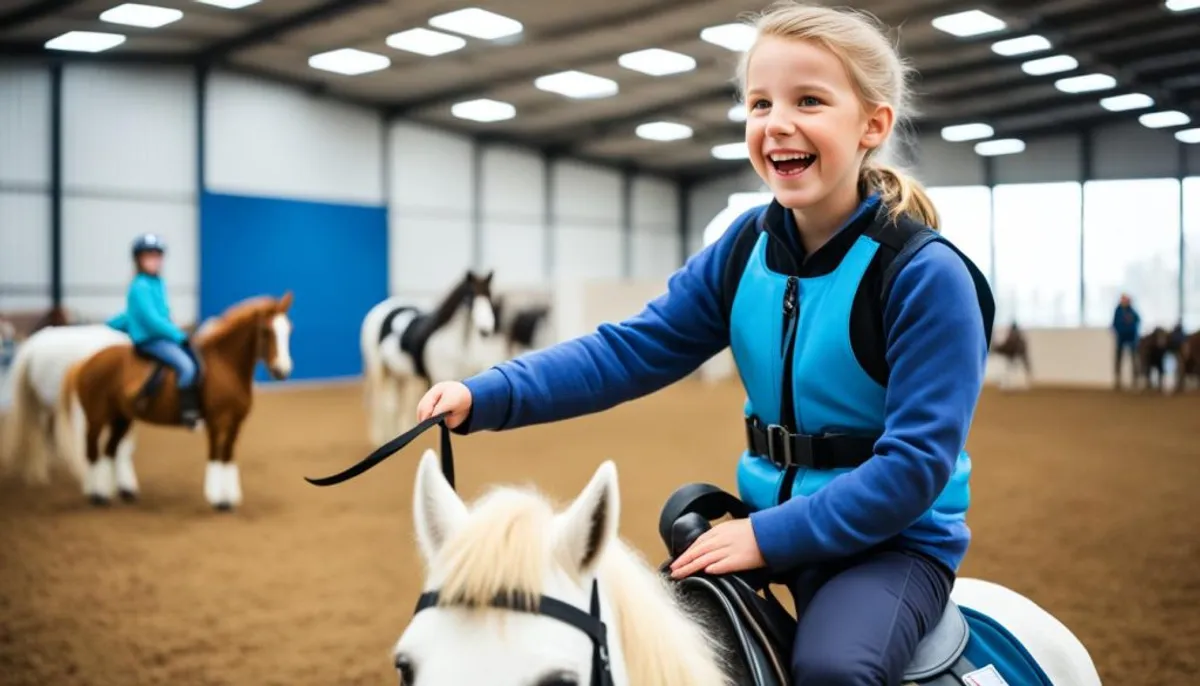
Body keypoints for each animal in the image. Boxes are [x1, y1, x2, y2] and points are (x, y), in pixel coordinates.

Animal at [52, 292, 297, 510]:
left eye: (288, 330)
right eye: (266, 331)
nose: (282, 370)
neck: (225, 367)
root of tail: (84, 362)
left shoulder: (236, 422)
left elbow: (227, 455)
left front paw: (230, 497)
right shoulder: (216, 421)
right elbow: (215, 455)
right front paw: (217, 499)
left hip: (121, 418)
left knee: (110, 450)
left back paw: (117, 492)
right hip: (97, 418)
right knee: (92, 451)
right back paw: (97, 495)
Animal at [360, 272, 501, 443]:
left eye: (489, 296)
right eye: (470, 298)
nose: (486, 330)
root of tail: (379, 309)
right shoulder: (437, 379)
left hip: (400, 375)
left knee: (394, 406)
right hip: (379, 370)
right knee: (381, 404)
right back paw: (380, 437)